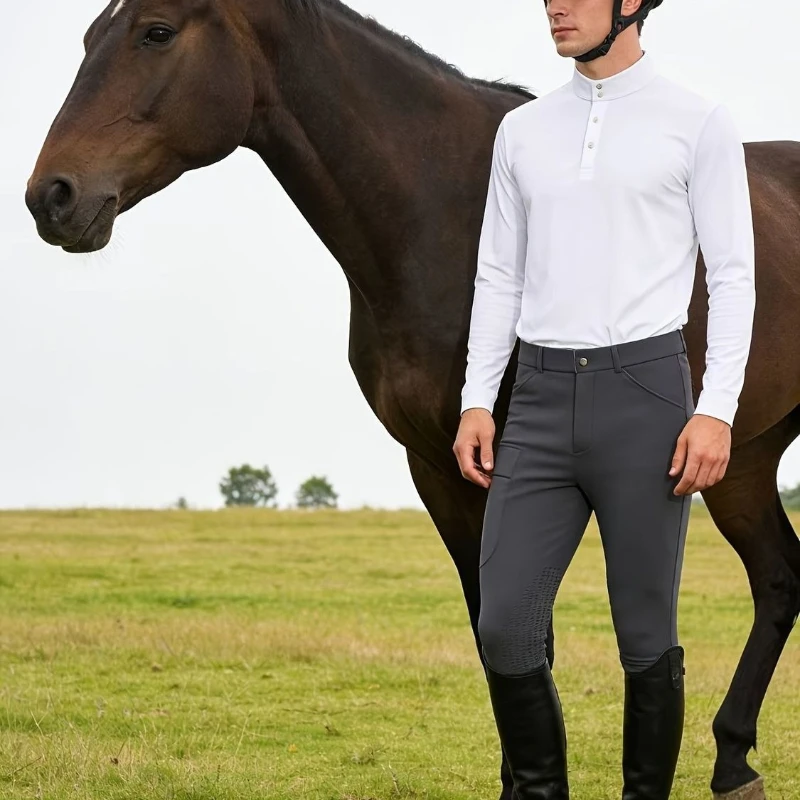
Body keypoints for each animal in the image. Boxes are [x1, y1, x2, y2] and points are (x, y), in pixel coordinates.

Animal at [25, 1, 800, 797]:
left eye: (156, 32)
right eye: (88, 35)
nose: (49, 197)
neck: (439, 212)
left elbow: (531, 635)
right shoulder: (439, 468)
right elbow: (497, 635)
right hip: (741, 463)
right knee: (779, 580)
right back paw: (733, 761)